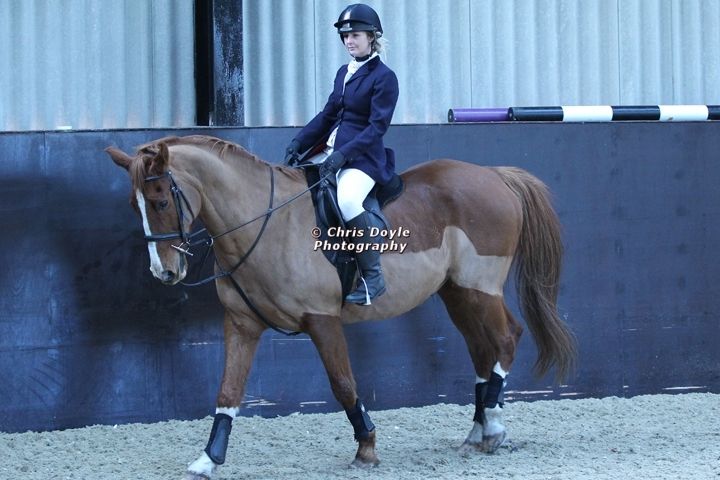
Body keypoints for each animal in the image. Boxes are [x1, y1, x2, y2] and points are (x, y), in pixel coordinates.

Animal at [106, 135, 576, 479]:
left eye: (161, 201)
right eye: (134, 205)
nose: (164, 272)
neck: (264, 224)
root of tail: (494, 175)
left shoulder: (322, 319)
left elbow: (343, 383)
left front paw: (367, 447)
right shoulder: (241, 323)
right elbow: (228, 391)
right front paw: (209, 459)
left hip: (480, 288)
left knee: (506, 339)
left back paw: (493, 426)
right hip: (457, 293)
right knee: (482, 350)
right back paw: (478, 432)